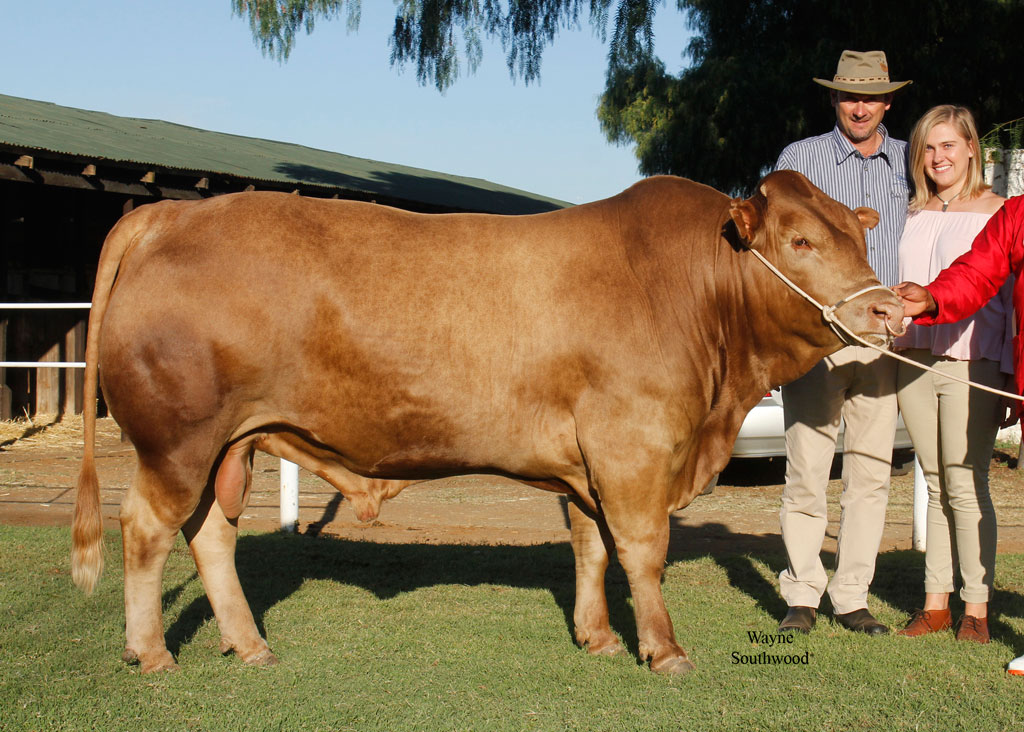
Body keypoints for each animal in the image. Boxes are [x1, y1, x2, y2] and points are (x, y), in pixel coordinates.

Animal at [74, 171, 905, 675]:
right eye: (800, 241)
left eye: (859, 237)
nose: (888, 310)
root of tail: (171, 212)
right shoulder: (633, 448)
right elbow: (641, 550)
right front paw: (664, 651)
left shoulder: (586, 459)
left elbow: (590, 548)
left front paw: (599, 638)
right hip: (178, 442)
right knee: (145, 527)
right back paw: (151, 654)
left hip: (228, 446)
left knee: (211, 534)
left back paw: (250, 647)